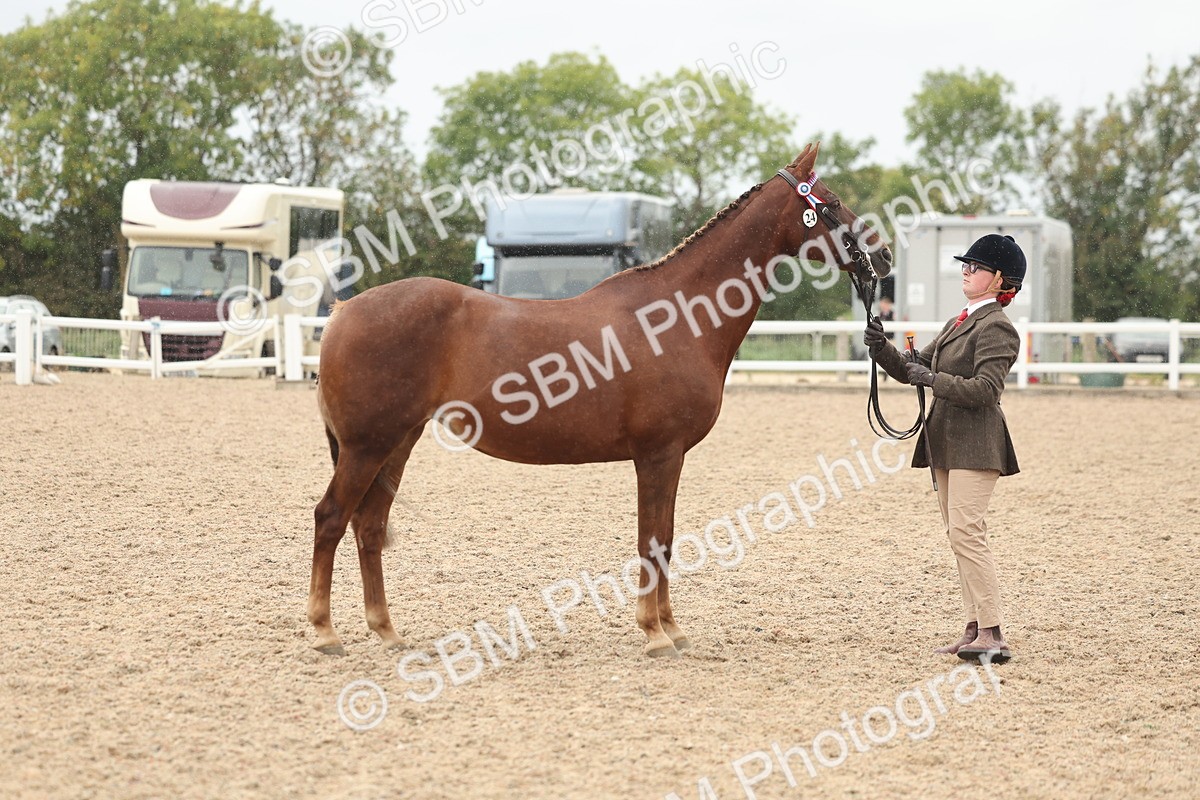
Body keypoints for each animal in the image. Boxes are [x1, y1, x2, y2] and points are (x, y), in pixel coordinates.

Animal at [308, 143, 892, 658]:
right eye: (832, 201)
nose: (883, 255)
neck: (676, 316)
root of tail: (343, 311)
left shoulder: (668, 458)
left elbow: (666, 539)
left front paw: (672, 629)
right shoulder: (658, 454)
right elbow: (652, 542)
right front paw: (655, 635)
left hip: (397, 443)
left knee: (369, 524)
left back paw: (386, 632)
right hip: (367, 446)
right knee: (332, 517)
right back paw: (325, 632)